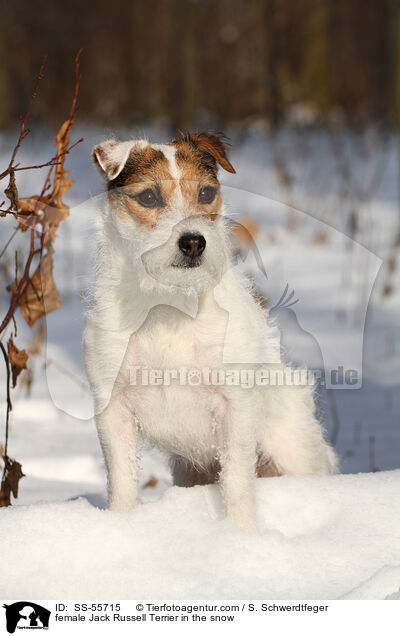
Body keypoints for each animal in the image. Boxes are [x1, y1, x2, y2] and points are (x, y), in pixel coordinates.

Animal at [83, 132, 338, 528]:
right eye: (149, 197)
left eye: (206, 193)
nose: (193, 242)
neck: (169, 303)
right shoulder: (113, 407)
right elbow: (122, 477)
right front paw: (121, 523)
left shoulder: (236, 407)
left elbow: (237, 480)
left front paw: (241, 532)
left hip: (295, 454)